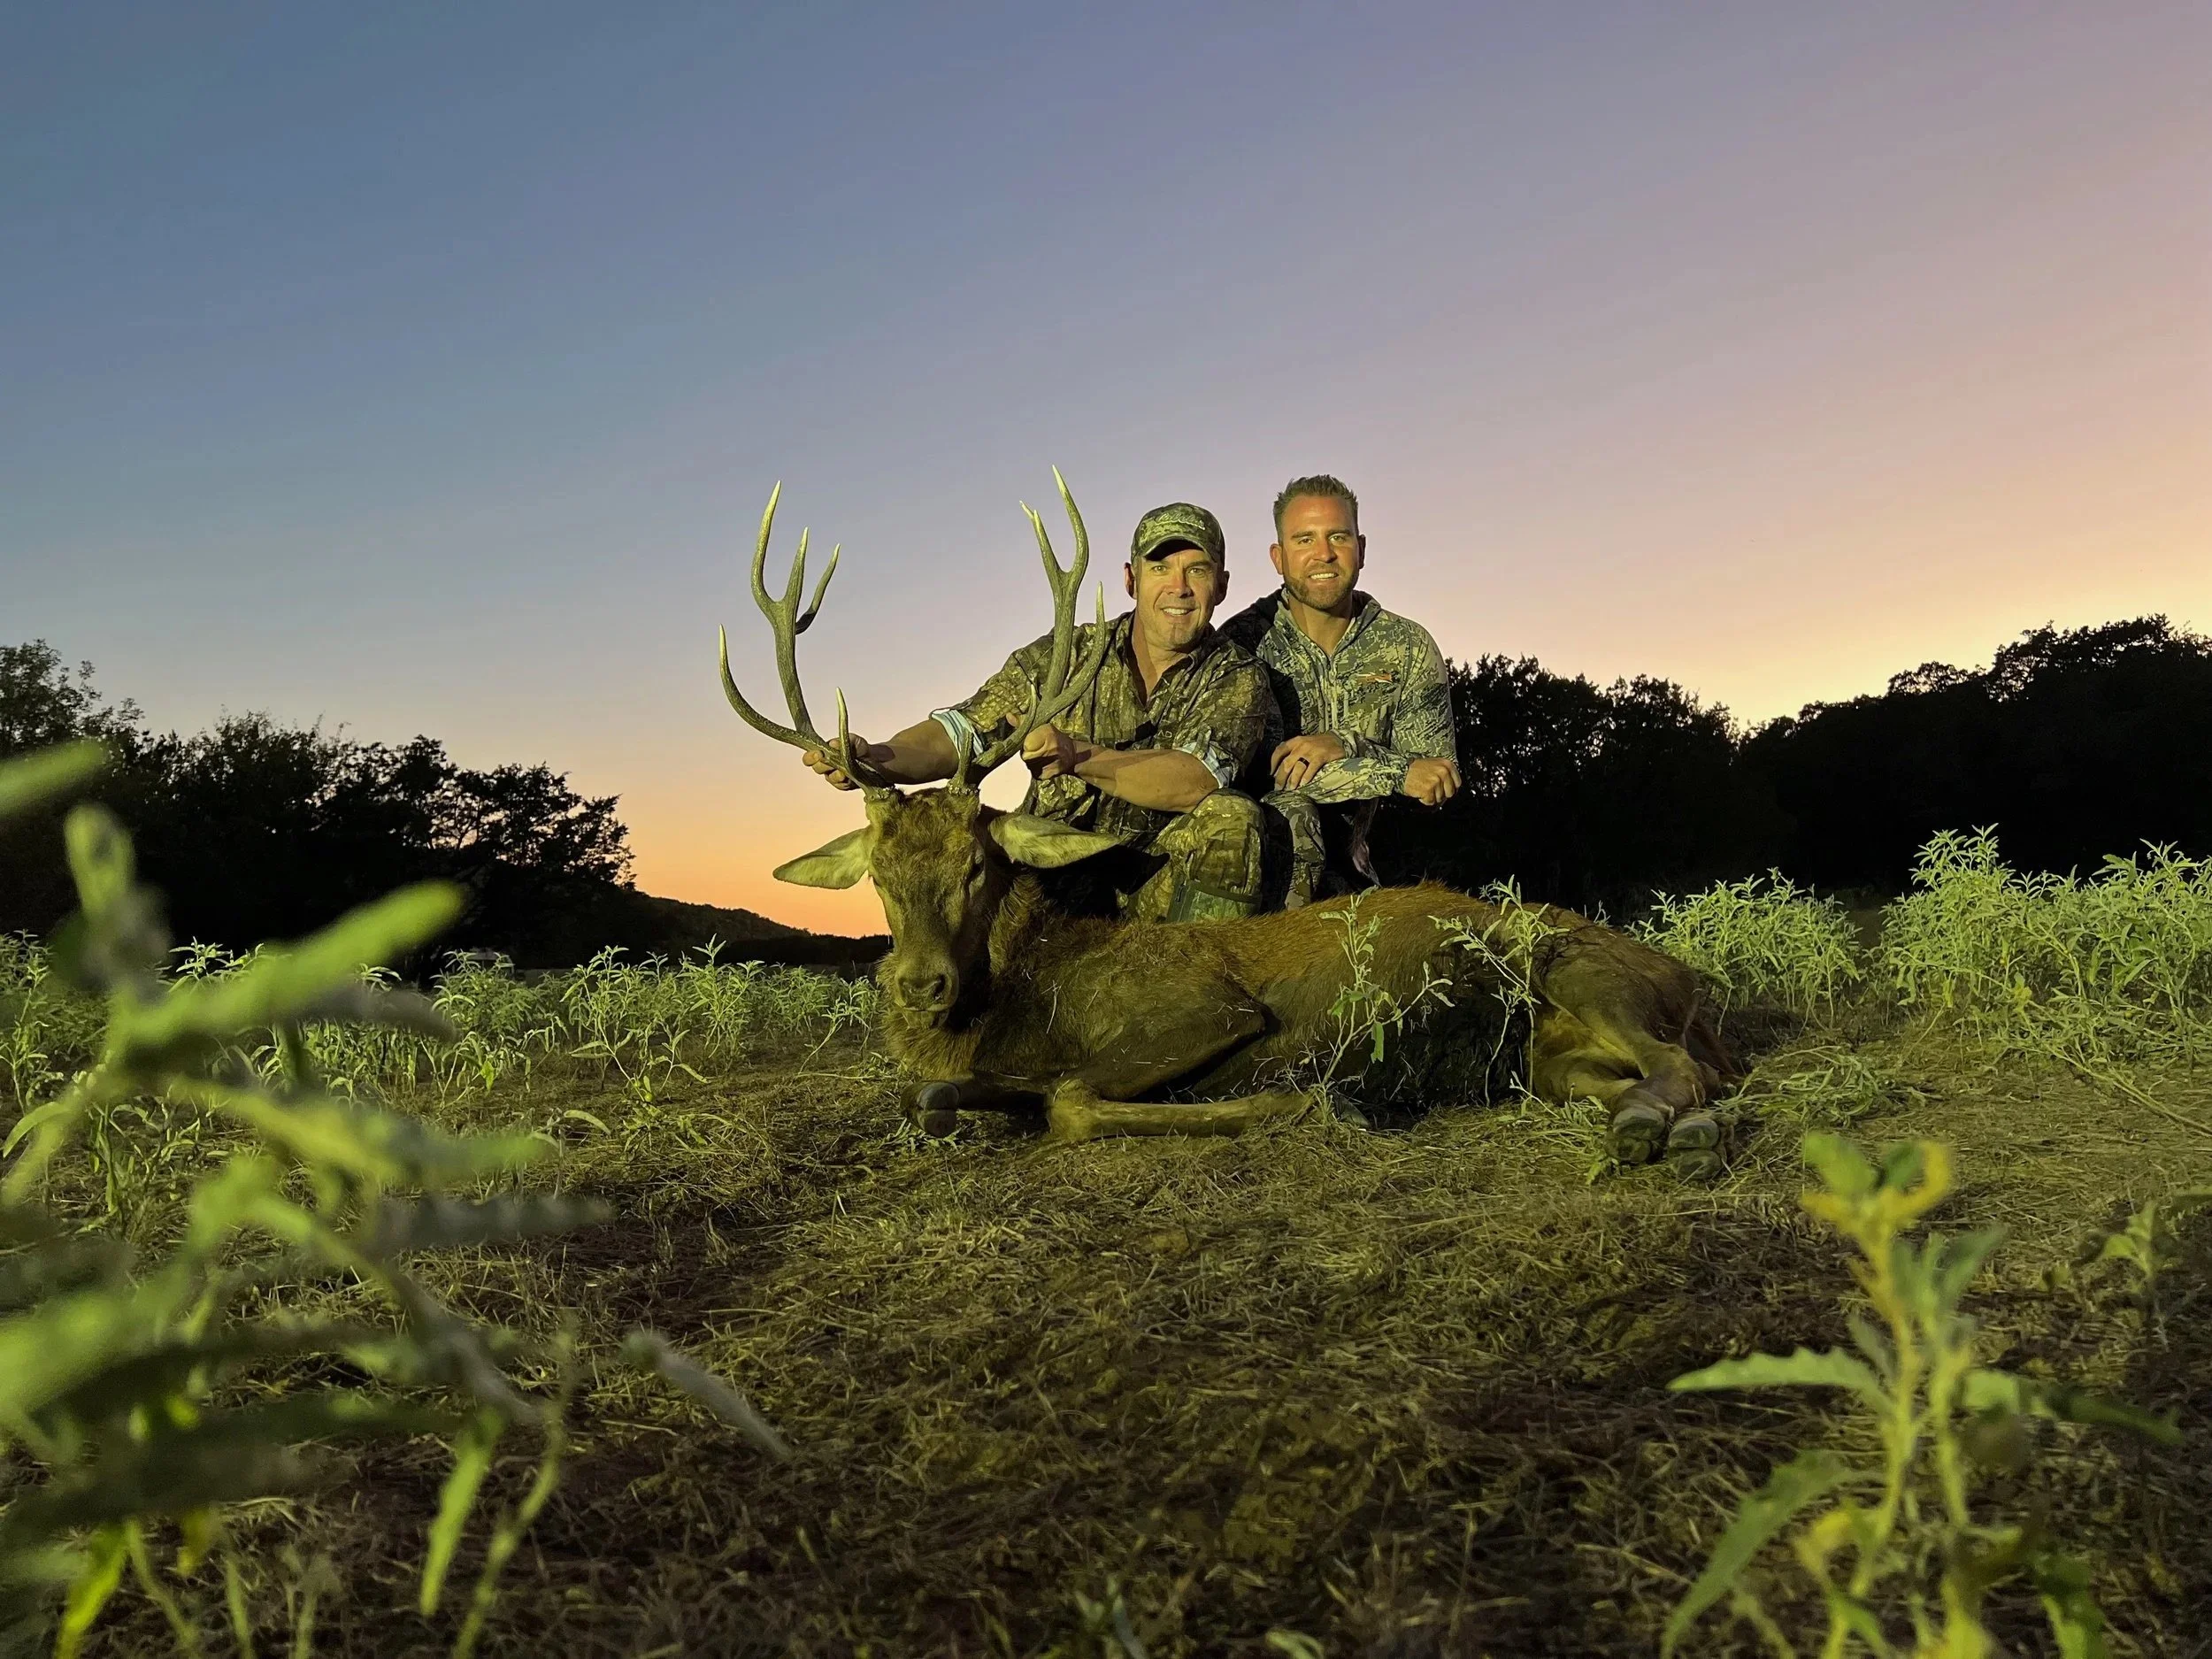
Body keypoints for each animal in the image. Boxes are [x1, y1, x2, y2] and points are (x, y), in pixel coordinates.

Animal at [717, 475, 1734, 1171]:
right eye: (880, 874)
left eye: (978, 864)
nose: (921, 982)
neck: (1023, 1005)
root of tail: (1694, 980)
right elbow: (930, 1093)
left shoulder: (1206, 1007)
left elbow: (1071, 1099)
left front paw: (1309, 1105)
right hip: (1553, 1057)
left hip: (1581, 967)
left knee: (1684, 1069)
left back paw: (1661, 1130)